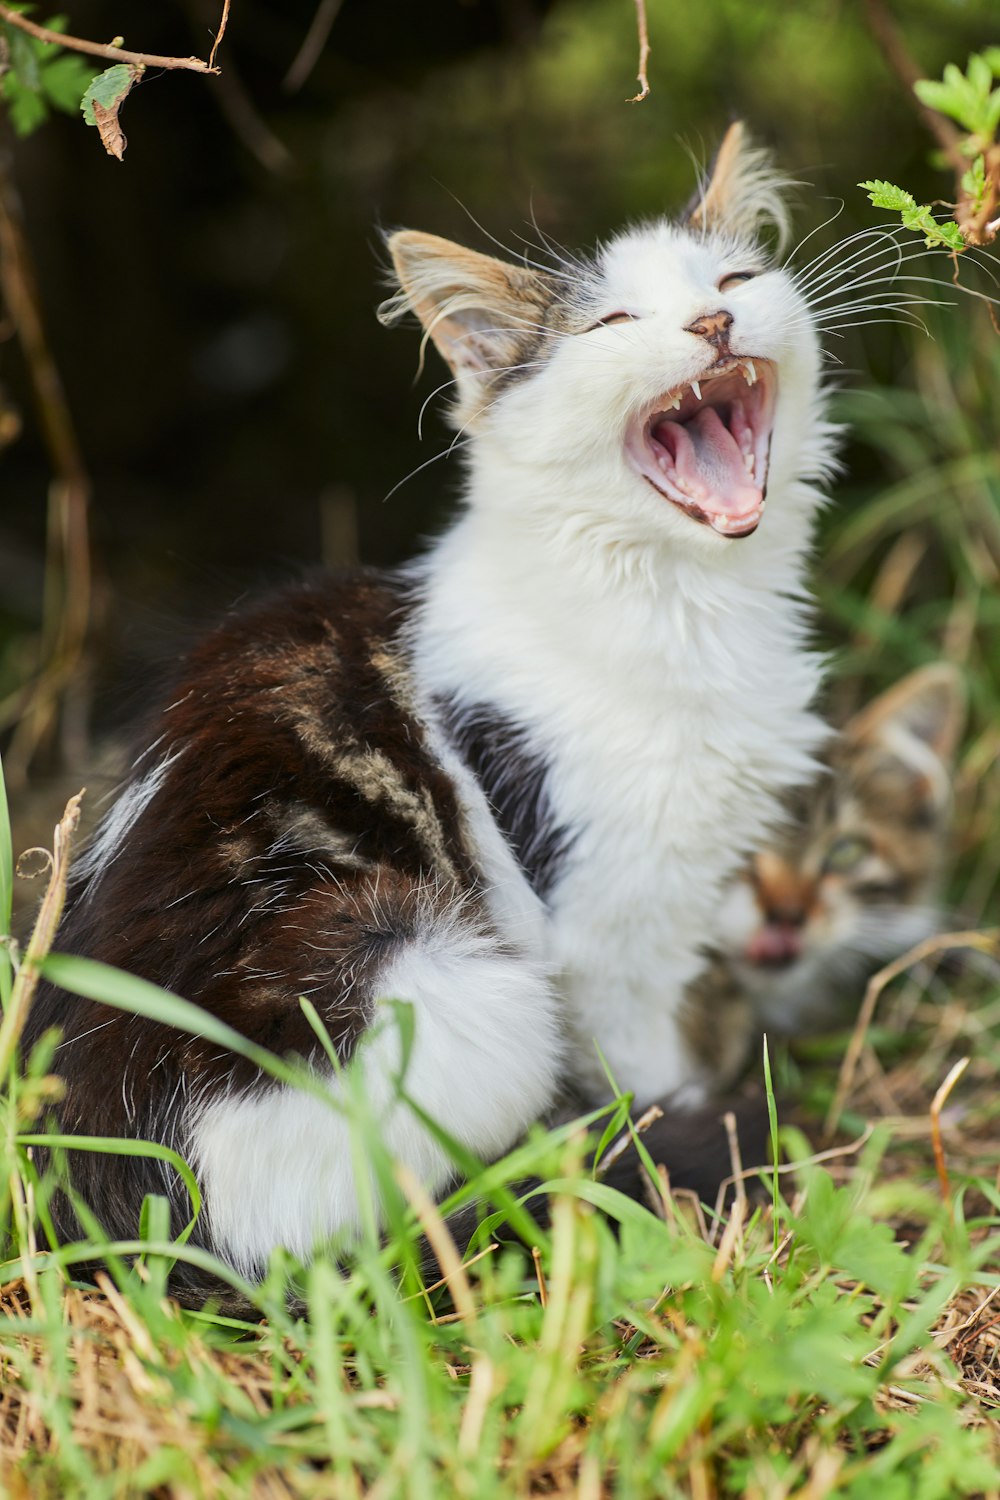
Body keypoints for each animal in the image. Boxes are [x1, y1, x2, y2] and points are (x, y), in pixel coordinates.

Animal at [25, 126, 839, 1290]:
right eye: (614, 324)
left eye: (731, 283)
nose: (714, 324)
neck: (681, 602)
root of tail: (125, 1230)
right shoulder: (607, 920)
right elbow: (640, 1062)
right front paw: (673, 1121)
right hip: (431, 965)